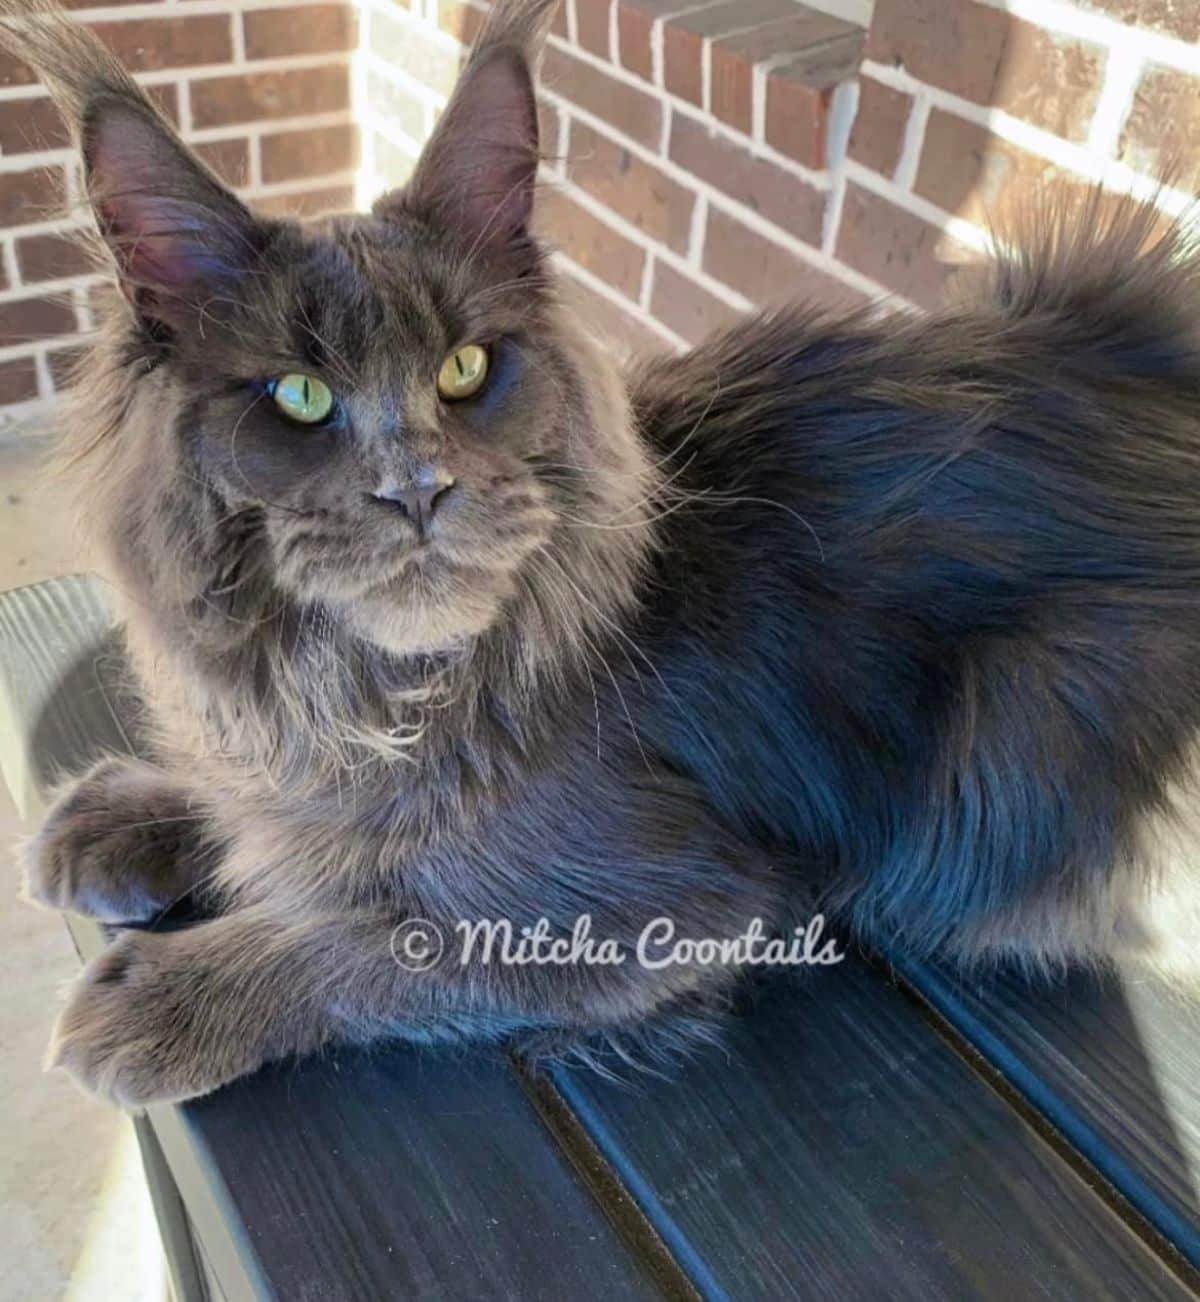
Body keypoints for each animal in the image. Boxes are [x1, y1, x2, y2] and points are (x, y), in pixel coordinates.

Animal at [6, 0, 1197, 1109]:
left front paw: (167, 997)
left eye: (465, 368)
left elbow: (378, 934)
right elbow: (261, 808)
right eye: (298, 397)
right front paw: (129, 811)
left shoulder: (673, 906)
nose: (417, 486)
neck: (389, 695)